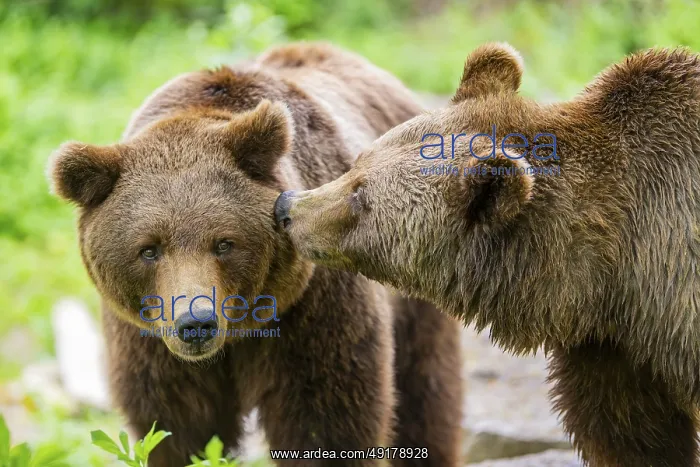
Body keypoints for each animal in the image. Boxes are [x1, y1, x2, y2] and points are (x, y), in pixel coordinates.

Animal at [47, 43, 464, 466]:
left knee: (425, 391)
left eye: (224, 243)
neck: (236, 338)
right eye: (149, 249)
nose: (196, 323)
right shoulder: (150, 341)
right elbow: (174, 428)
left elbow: (326, 421)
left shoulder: (313, 308)